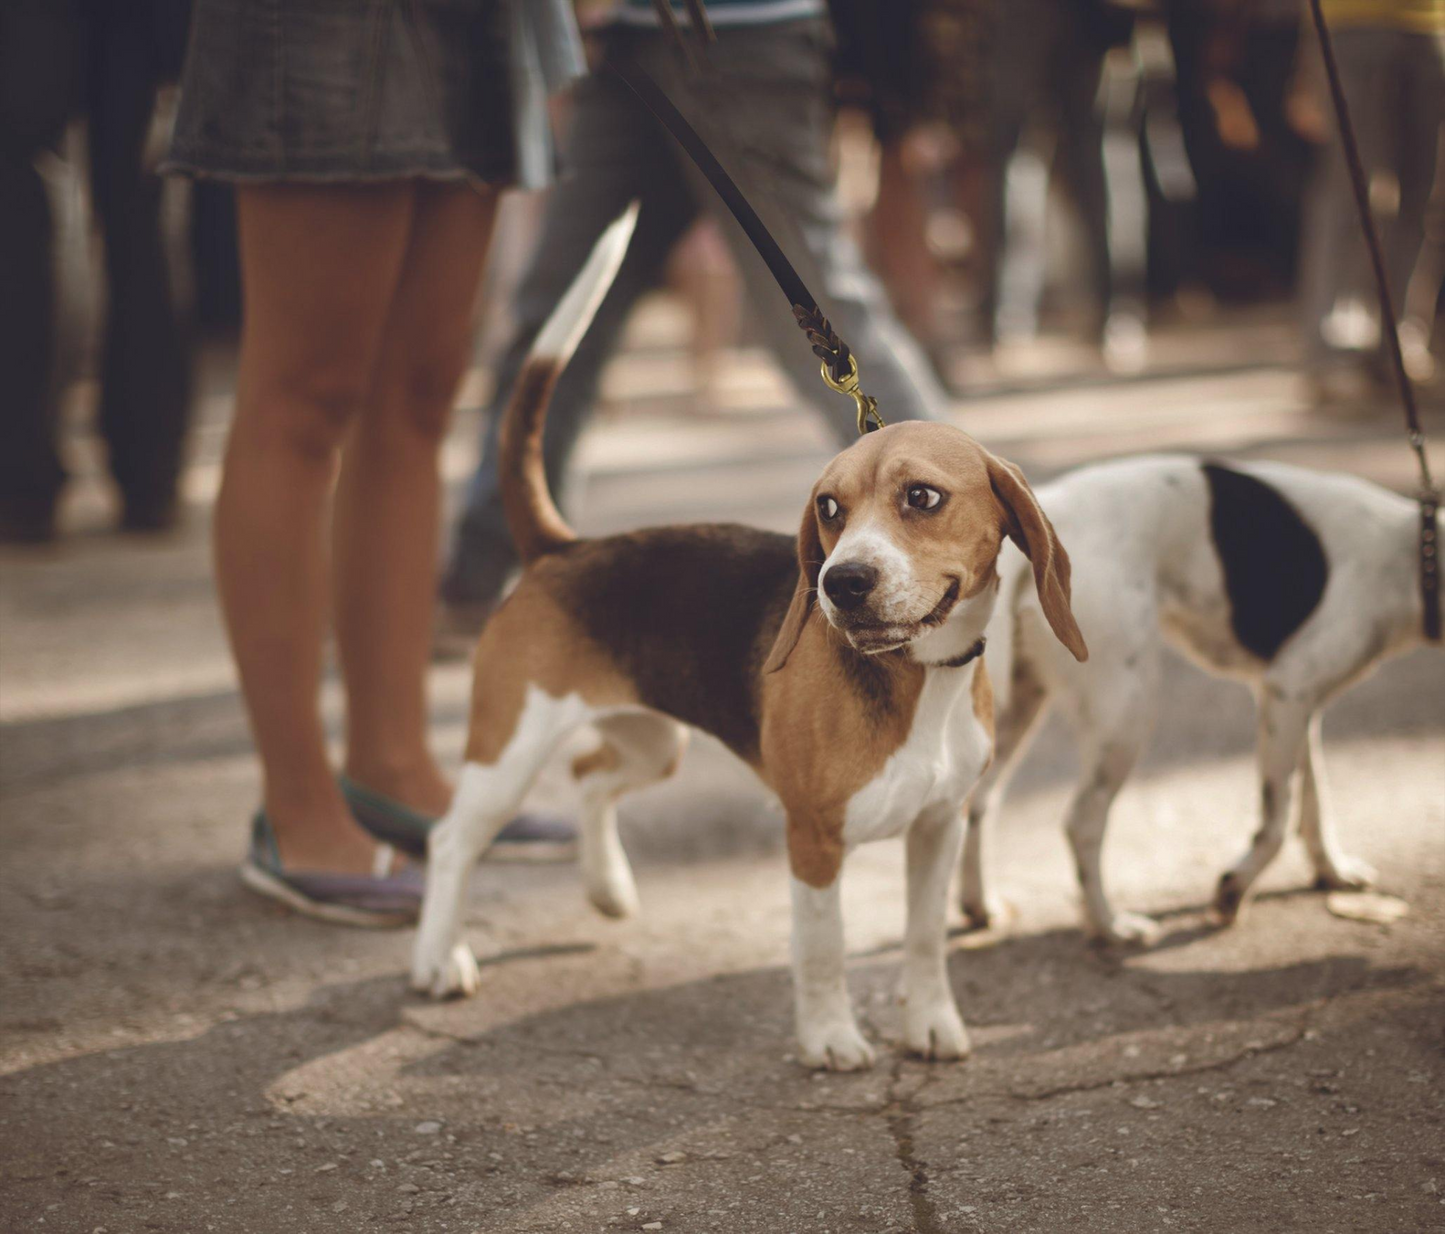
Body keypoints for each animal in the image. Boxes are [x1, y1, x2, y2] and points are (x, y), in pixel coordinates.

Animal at [410, 208, 1086, 1069]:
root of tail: (563, 547)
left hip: (653, 743)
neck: (916, 679)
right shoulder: (813, 839)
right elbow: (823, 949)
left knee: (591, 775)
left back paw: (608, 890)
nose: (840, 584)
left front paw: (931, 1024)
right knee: (449, 840)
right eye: (828, 508)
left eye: (922, 497)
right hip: (508, 749)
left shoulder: (937, 829)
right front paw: (830, 1038)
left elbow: (924, 941)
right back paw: (439, 959)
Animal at [959, 453, 1433, 947]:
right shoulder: (1289, 689)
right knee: (1082, 822)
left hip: (1019, 706)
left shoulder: (1298, 706)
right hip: (1126, 712)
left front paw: (1332, 871)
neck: (1415, 553)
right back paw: (1109, 925)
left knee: (979, 801)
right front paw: (1233, 891)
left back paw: (981, 905)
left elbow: (1313, 800)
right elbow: (1277, 817)